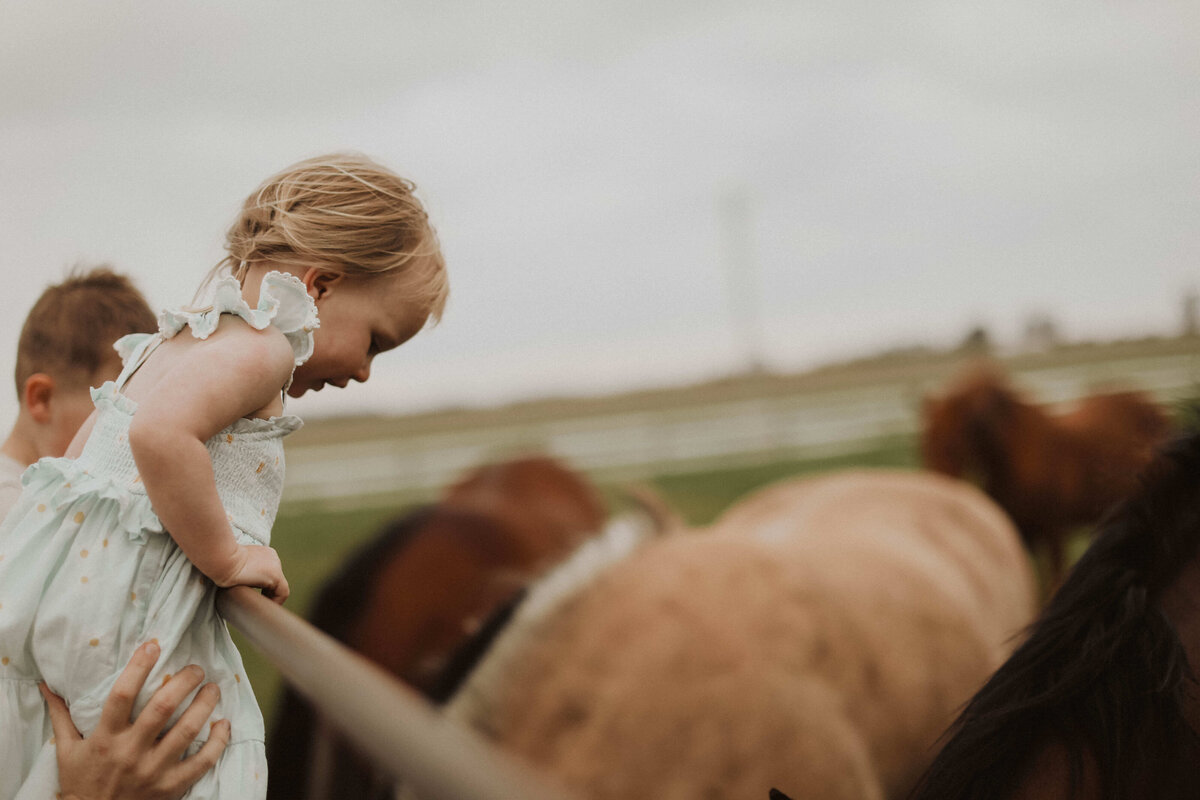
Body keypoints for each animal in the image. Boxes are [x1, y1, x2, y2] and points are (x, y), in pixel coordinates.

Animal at [916, 362, 1171, 587]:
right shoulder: (1021, 536)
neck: (1015, 459)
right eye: (925, 445)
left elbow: (1053, 582)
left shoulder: (1053, 533)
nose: (936, 499)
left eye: (952, 445)